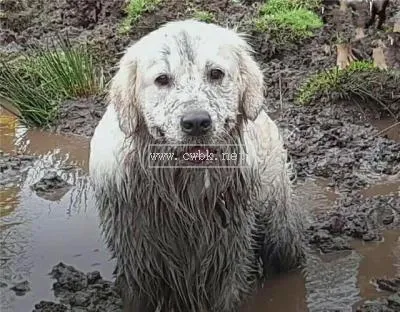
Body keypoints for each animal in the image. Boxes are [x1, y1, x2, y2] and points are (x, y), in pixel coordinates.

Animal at [88, 20, 306, 312]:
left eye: (216, 73)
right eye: (162, 79)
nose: (196, 123)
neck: (184, 191)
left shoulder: (227, 254)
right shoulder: (138, 259)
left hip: (278, 224)